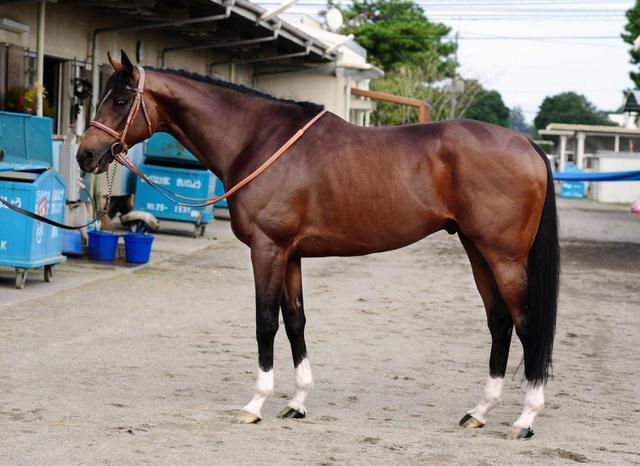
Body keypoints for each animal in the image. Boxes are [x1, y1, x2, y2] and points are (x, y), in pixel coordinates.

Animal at [77, 51, 559, 440]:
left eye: (120, 100)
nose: (85, 154)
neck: (258, 140)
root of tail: (526, 144)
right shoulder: (290, 254)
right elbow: (295, 321)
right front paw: (297, 403)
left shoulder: (267, 249)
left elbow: (265, 322)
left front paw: (255, 404)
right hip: (478, 250)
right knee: (499, 323)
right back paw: (479, 412)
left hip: (503, 256)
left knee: (525, 325)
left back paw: (524, 421)